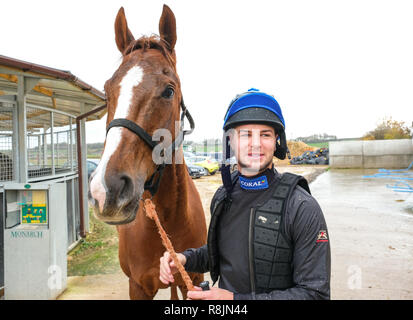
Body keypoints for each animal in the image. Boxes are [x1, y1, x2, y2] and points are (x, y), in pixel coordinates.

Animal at [89, 5, 208, 300]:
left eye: (169, 90)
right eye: (107, 91)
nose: (106, 189)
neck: (166, 220)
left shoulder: (193, 280)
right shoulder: (138, 286)